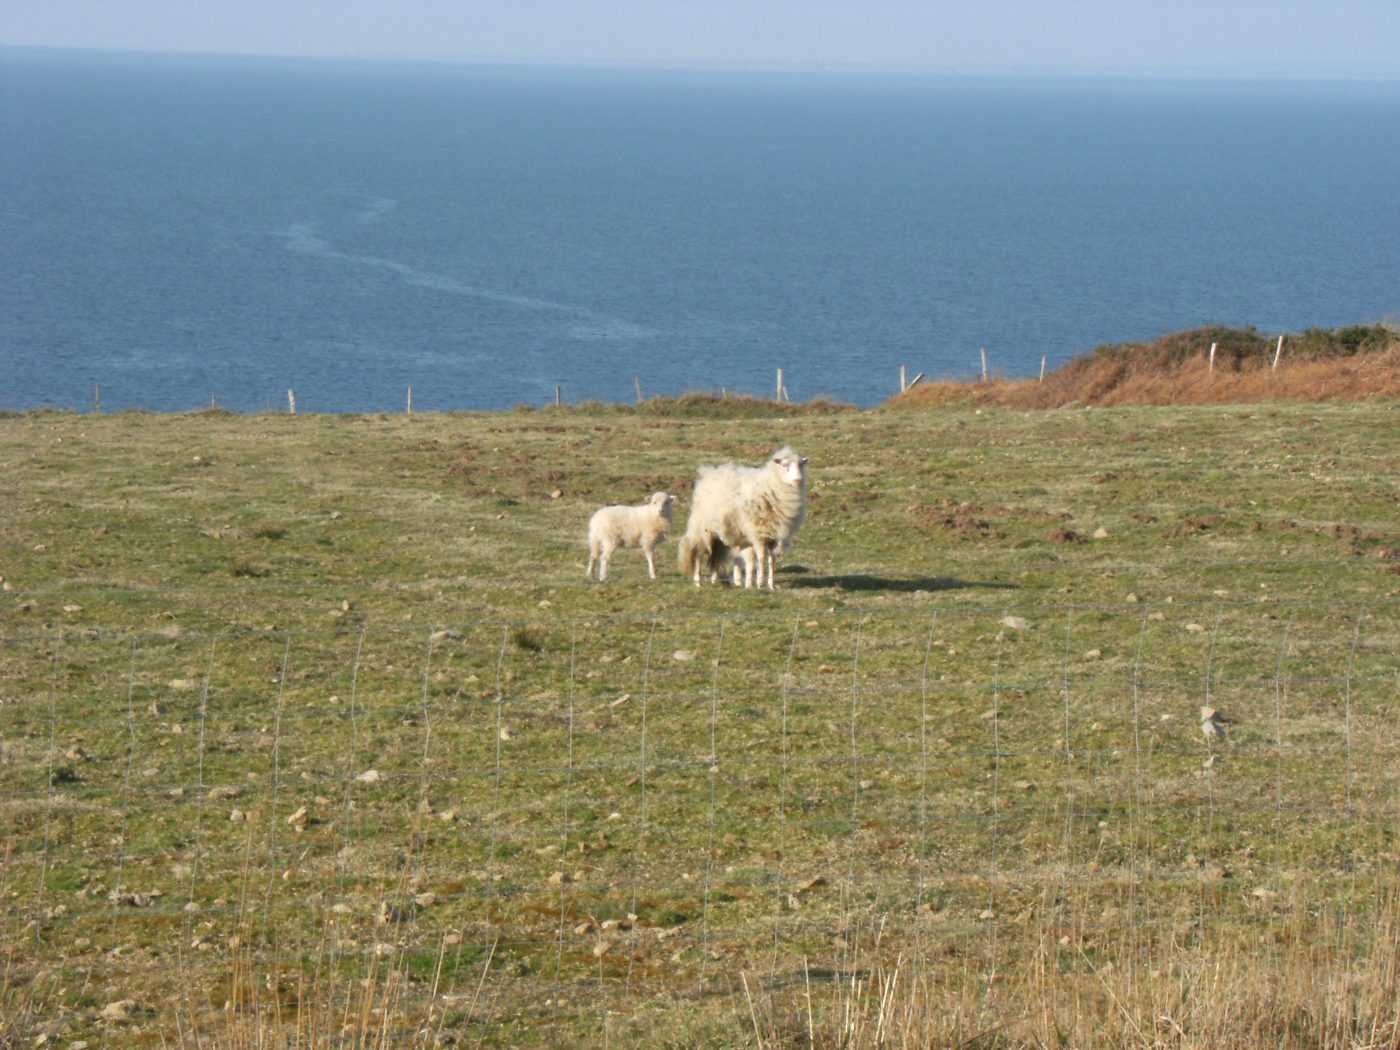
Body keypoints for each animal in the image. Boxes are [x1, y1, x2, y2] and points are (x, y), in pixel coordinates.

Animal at [678, 446, 808, 591]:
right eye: (785, 466)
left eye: (801, 465)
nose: (798, 480)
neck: (771, 487)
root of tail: (709, 473)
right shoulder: (758, 535)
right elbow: (761, 558)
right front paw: (760, 583)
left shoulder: (773, 538)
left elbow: (772, 560)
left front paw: (771, 585)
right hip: (703, 530)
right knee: (698, 554)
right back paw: (698, 582)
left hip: (719, 534)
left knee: (716, 555)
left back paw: (715, 581)